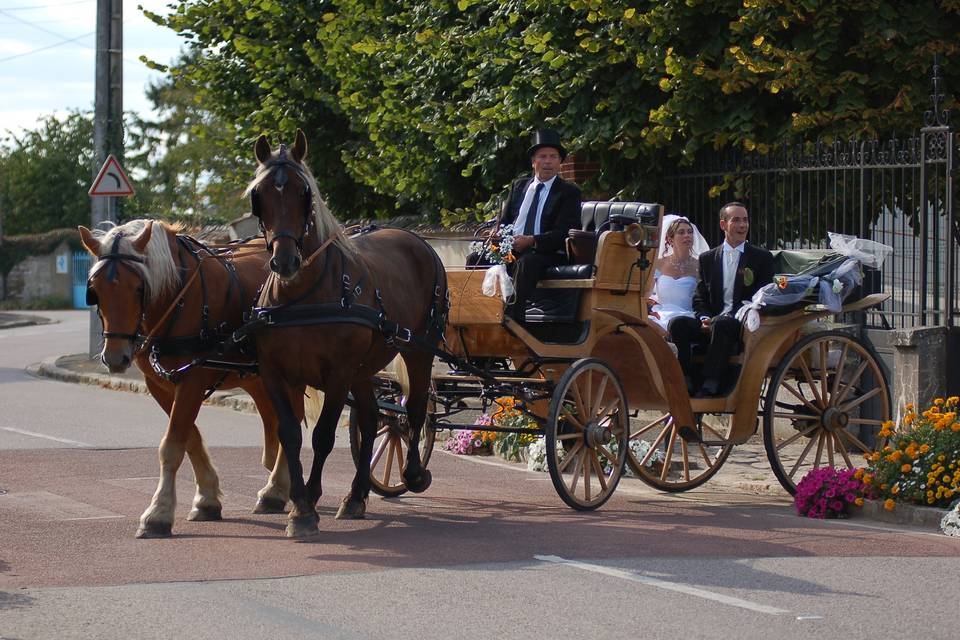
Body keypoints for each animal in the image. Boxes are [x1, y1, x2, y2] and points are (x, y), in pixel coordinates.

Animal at [244, 131, 446, 540]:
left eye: (304, 193)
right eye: (259, 195)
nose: (285, 261)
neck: (303, 295)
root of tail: (417, 240)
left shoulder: (337, 374)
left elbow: (322, 436)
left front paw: (307, 505)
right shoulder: (277, 374)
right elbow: (291, 435)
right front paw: (299, 503)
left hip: (418, 350)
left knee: (415, 410)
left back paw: (414, 474)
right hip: (364, 369)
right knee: (372, 420)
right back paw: (356, 496)